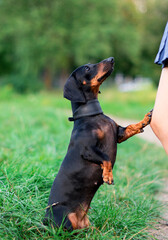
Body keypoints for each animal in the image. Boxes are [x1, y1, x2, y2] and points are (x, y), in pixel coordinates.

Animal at [43, 57, 152, 231]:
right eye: (87, 68)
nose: (111, 59)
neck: (92, 115)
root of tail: (45, 220)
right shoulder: (87, 149)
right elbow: (105, 157)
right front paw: (108, 175)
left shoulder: (119, 134)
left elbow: (130, 128)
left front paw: (144, 120)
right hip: (66, 220)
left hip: (84, 222)